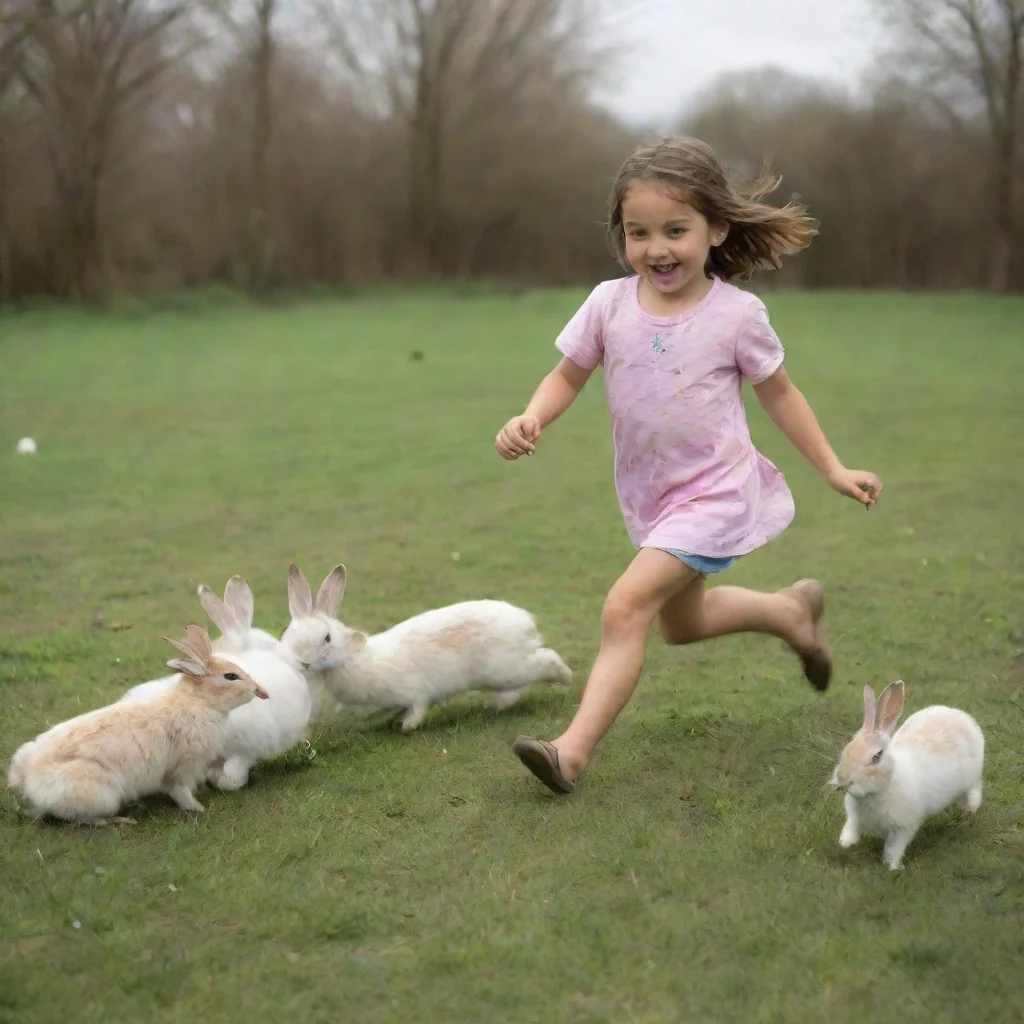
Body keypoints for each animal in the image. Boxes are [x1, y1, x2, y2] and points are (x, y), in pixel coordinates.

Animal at [6, 622, 270, 823]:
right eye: (231, 676)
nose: (258, 691)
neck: (199, 702)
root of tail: (27, 778)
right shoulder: (182, 767)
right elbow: (180, 791)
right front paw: (197, 808)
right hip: (101, 794)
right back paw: (120, 820)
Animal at [280, 561, 573, 737]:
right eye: (289, 633)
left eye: (326, 638)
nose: (303, 662)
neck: (353, 657)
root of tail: (526, 622)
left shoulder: (414, 692)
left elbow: (418, 707)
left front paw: (406, 727)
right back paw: (495, 706)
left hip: (507, 668)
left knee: (547, 660)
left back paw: (565, 678)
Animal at [831, 679, 983, 872]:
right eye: (846, 749)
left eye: (876, 757)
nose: (844, 780)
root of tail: (961, 715)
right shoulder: (853, 820)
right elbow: (850, 831)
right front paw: (845, 844)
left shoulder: (902, 829)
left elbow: (893, 849)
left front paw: (893, 868)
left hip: (973, 777)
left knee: (974, 791)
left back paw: (968, 810)